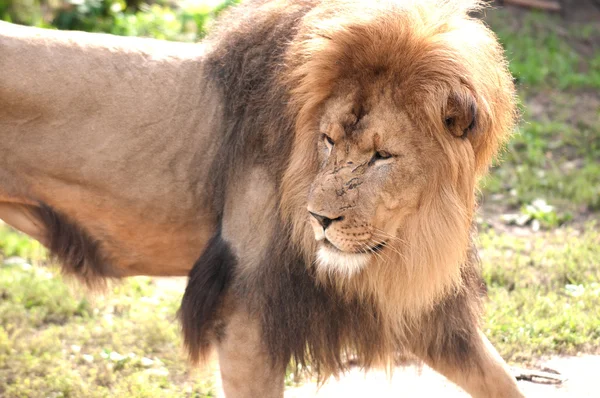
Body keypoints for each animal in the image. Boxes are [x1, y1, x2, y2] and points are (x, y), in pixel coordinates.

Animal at [0, 0, 524, 396]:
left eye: (381, 156)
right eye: (328, 140)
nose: (318, 219)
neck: (414, 233)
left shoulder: (420, 304)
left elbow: (502, 380)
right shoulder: (245, 313)